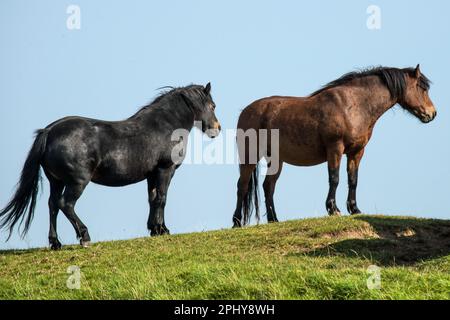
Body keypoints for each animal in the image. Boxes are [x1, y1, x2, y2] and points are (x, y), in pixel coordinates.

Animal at [0, 82, 220, 250]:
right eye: (212, 105)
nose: (217, 128)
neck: (164, 126)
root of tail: (50, 130)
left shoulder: (151, 175)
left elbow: (152, 199)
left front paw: (154, 229)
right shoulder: (165, 170)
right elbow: (162, 199)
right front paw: (162, 230)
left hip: (56, 181)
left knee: (53, 205)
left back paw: (56, 243)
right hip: (77, 181)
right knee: (66, 204)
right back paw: (84, 237)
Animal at [232, 65, 436, 226]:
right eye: (421, 87)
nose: (432, 113)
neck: (353, 105)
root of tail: (246, 111)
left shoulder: (357, 152)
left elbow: (353, 180)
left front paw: (355, 209)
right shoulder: (335, 149)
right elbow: (335, 178)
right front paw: (333, 209)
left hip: (276, 160)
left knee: (268, 186)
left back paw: (274, 220)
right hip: (249, 156)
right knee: (242, 185)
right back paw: (236, 222)